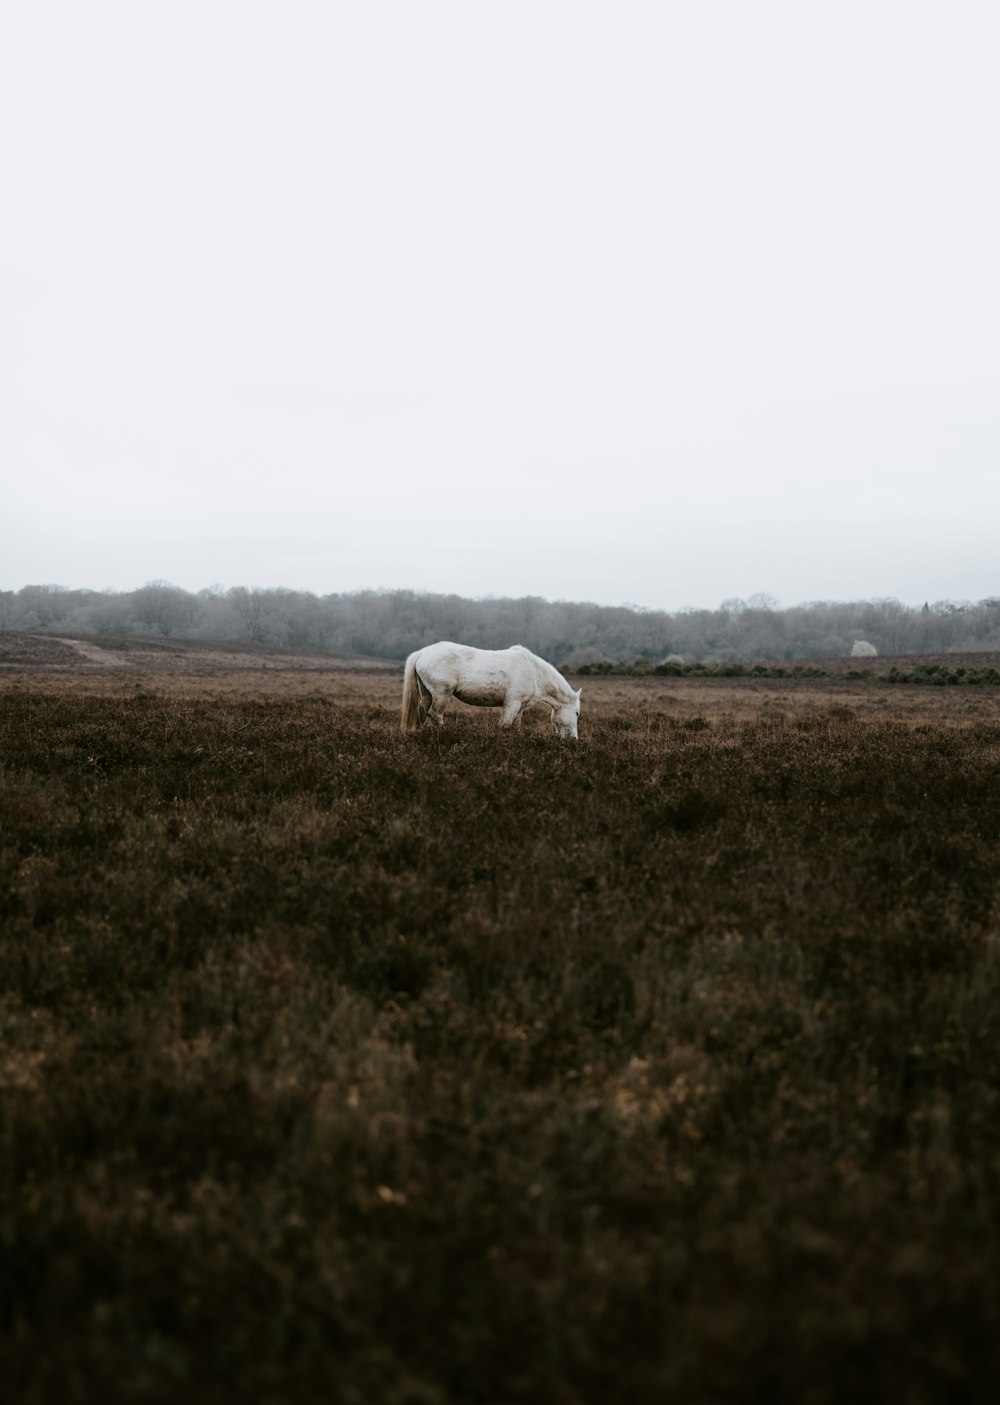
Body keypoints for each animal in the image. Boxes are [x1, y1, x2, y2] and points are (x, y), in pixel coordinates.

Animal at [401, 643, 581, 741]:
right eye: (577, 713)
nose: (573, 739)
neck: (534, 672)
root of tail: (422, 653)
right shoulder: (511, 704)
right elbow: (504, 725)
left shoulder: (520, 708)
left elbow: (515, 726)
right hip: (442, 695)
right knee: (435, 715)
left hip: (427, 694)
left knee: (424, 714)